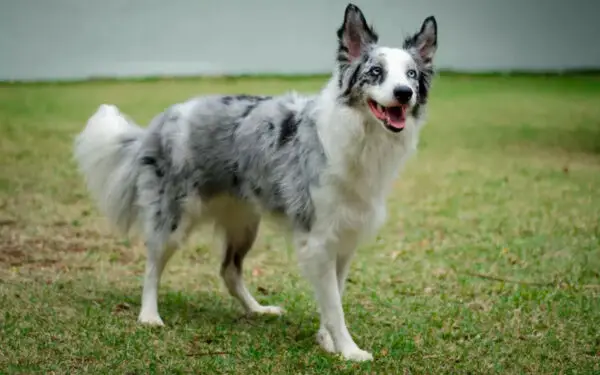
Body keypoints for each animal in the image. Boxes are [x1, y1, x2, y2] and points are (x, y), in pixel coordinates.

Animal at [72, 2, 438, 362]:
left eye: (411, 74)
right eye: (376, 72)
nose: (404, 93)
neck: (362, 136)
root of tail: (160, 121)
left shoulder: (345, 237)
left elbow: (334, 295)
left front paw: (326, 340)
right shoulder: (318, 240)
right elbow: (334, 306)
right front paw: (348, 350)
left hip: (245, 223)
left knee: (229, 271)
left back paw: (257, 309)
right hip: (173, 218)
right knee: (152, 265)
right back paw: (149, 315)